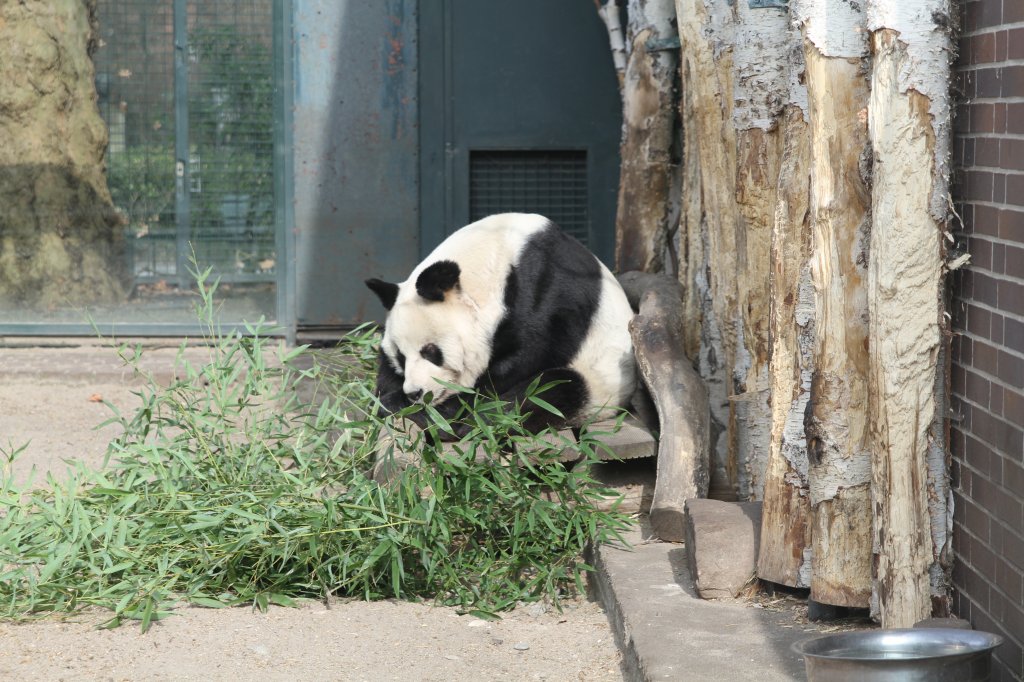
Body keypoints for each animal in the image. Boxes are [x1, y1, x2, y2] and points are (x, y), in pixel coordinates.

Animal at [364, 210, 634, 436]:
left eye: (431, 351)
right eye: (401, 357)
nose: (415, 393)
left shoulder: (547, 293)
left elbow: (527, 355)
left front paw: (450, 407)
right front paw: (390, 399)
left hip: (601, 380)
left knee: (554, 390)